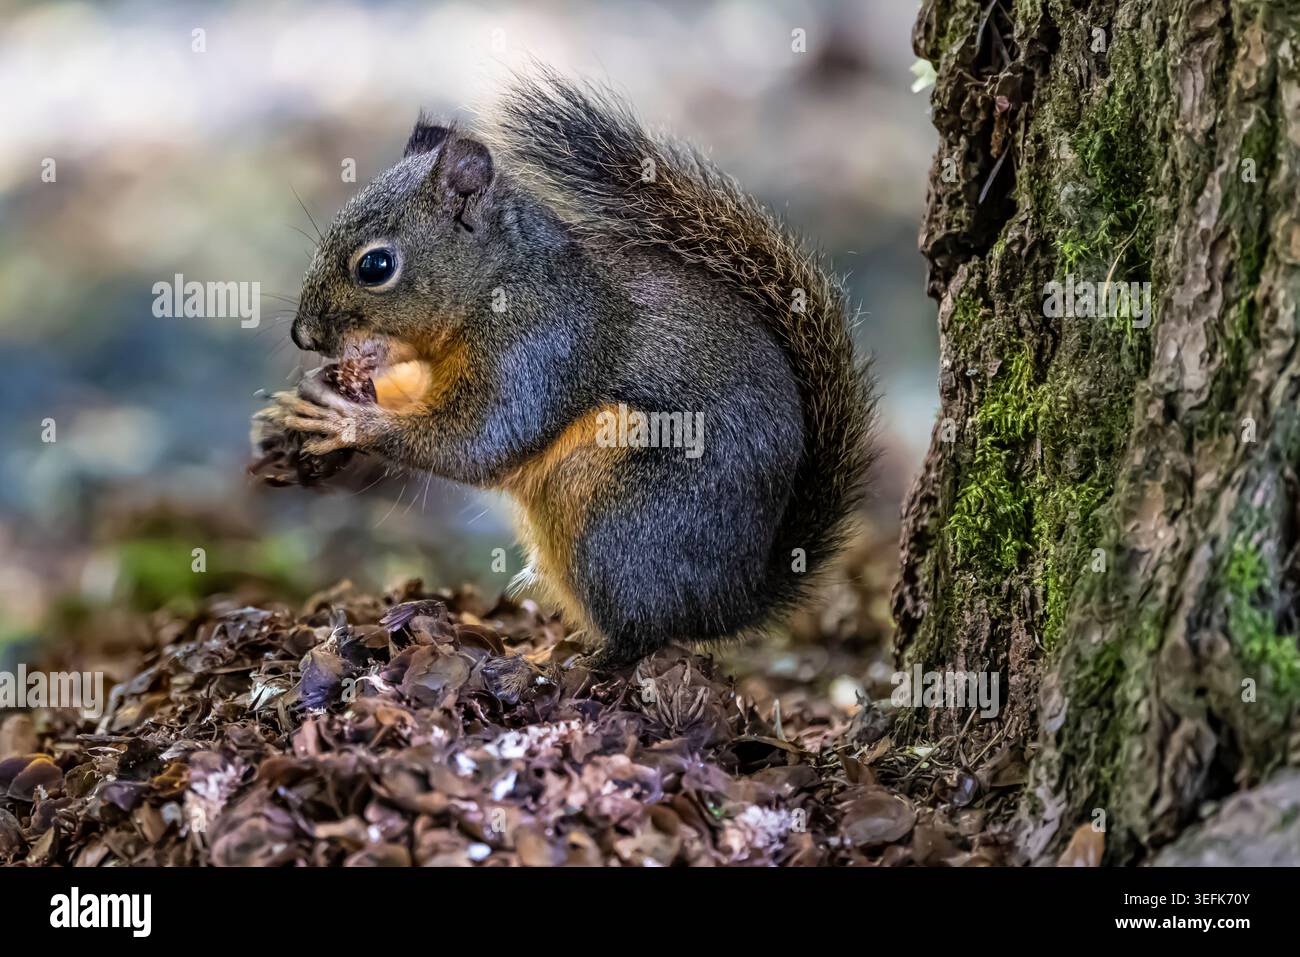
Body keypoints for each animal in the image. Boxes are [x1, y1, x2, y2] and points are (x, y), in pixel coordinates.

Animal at [257, 71, 876, 667]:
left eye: (376, 266)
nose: (302, 335)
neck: (500, 280)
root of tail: (733, 601)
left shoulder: (542, 346)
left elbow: (479, 442)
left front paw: (345, 420)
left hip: (623, 526)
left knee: (644, 632)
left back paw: (580, 662)